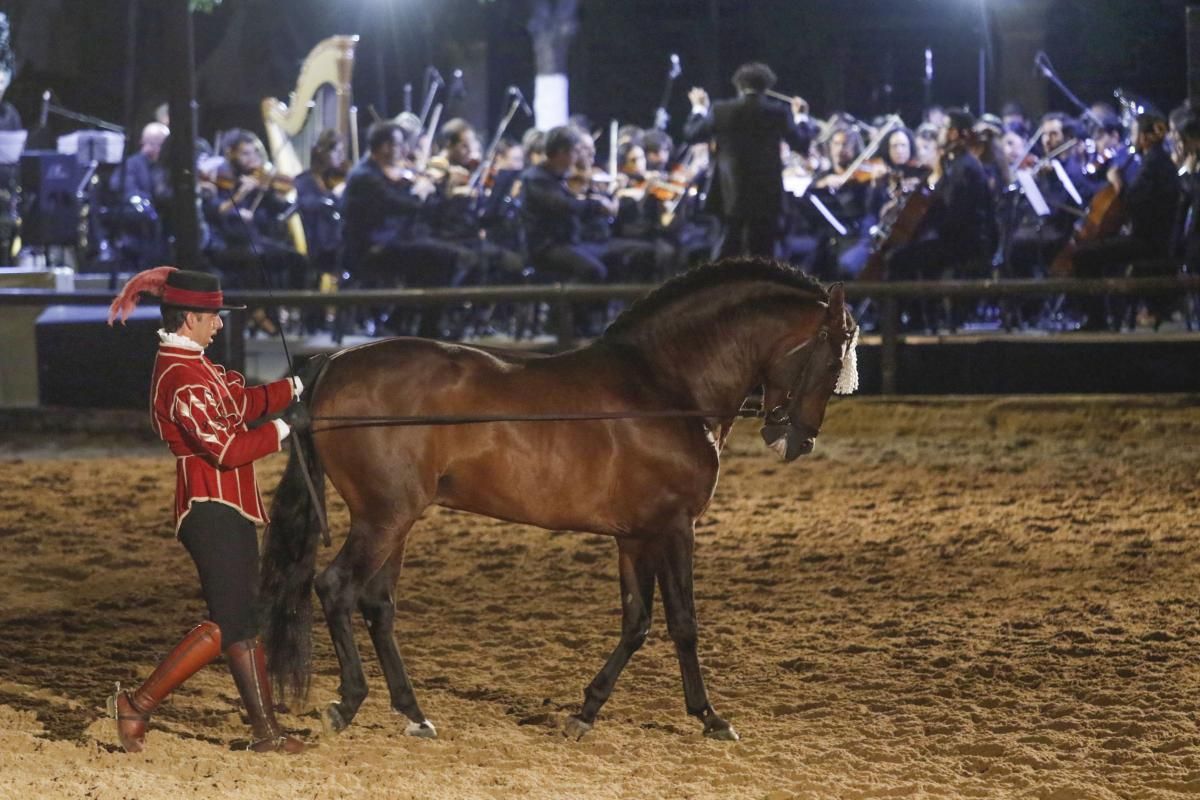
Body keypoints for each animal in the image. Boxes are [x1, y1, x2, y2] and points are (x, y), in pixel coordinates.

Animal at [266, 260, 859, 743]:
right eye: (833, 357)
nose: (797, 440)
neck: (666, 387)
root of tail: (335, 362)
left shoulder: (634, 536)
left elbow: (637, 622)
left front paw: (586, 712)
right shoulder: (675, 528)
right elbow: (683, 624)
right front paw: (711, 718)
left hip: (397, 520)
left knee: (377, 604)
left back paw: (414, 714)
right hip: (383, 517)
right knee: (337, 588)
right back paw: (347, 703)